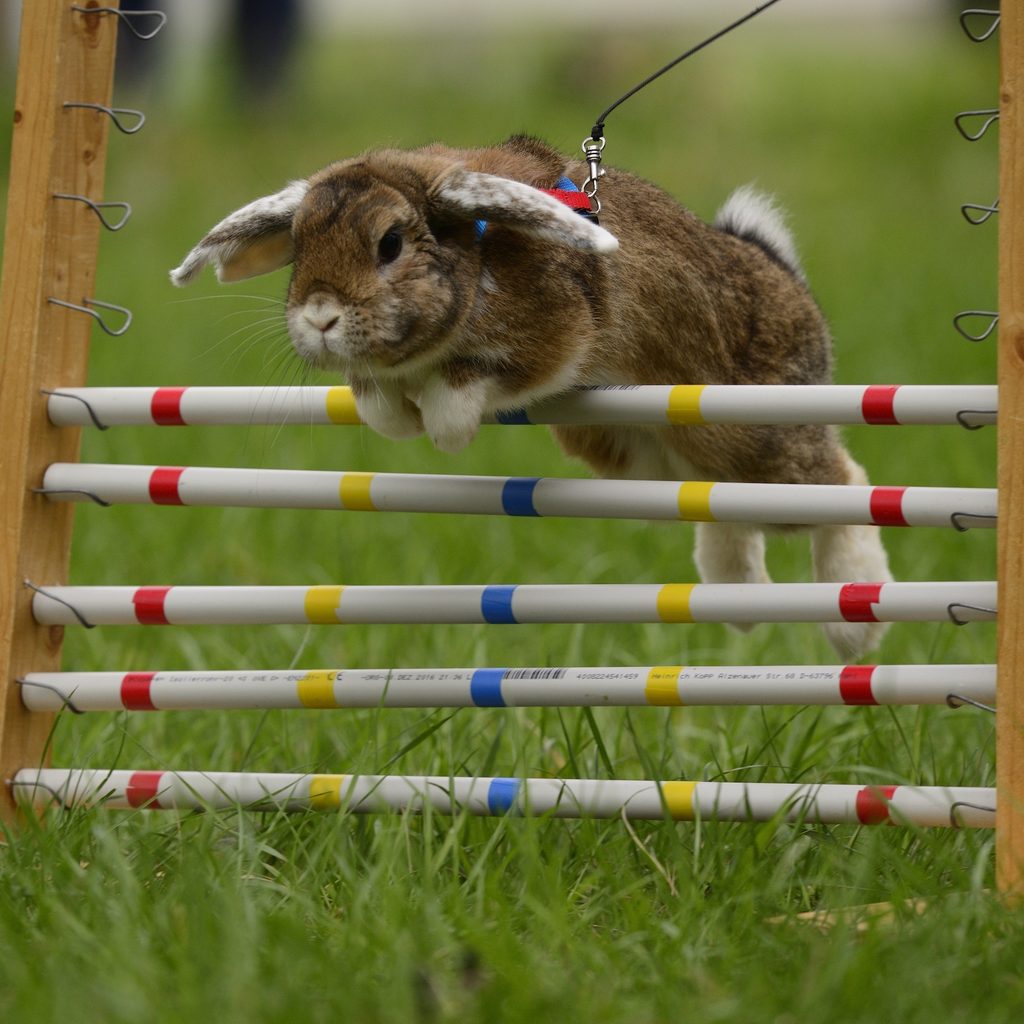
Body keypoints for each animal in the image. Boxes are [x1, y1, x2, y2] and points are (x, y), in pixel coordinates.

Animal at [171, 134, 891, 658]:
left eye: (390, 243)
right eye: (297, 248)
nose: (320, 315)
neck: (475, 250)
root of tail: (786, 278)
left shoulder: (554, 342)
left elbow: (472, 379)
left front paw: (444, 426)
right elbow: (377, 394)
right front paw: (394, 414)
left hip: (747, 436)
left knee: (841, 483)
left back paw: (854, 621)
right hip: (646, 458)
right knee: (722, 511)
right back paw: (737, 601)